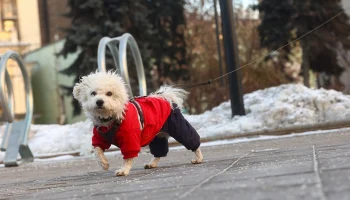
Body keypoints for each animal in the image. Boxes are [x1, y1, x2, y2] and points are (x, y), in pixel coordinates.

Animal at [72, 71, 202, 176]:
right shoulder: (100, 138)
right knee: (159, 151)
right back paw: (152, 164)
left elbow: (128, 157)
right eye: (93, 93)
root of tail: (165, 96)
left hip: (179, 128)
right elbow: (97, 151)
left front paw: (123, 170)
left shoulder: (130, 138)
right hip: (157, 136)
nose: (99, 101)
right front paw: (104, 163)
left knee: (193, 141)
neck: (110, 119)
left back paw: (198, 158)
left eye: (109, 93)